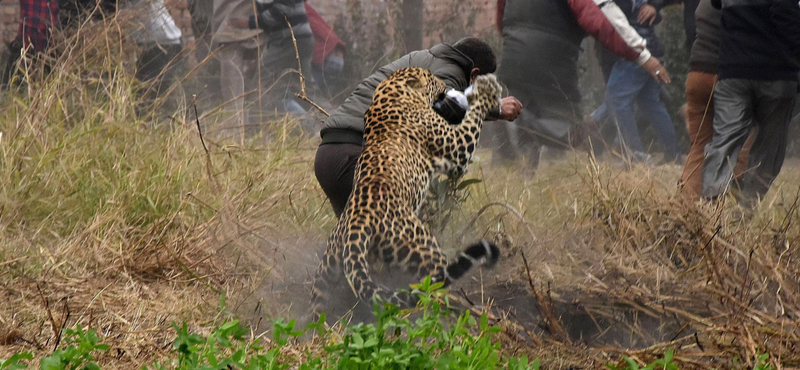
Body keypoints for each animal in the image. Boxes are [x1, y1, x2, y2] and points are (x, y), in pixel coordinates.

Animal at [310, 67, 504, 316]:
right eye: (432, 79)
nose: (445, 84)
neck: (391, 93)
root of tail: (357, 223)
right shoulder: (457, 149)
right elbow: (473, 118)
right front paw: (486, 91)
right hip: (423, 248)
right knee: (434, 286)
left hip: (328, 268)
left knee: (318, 302)